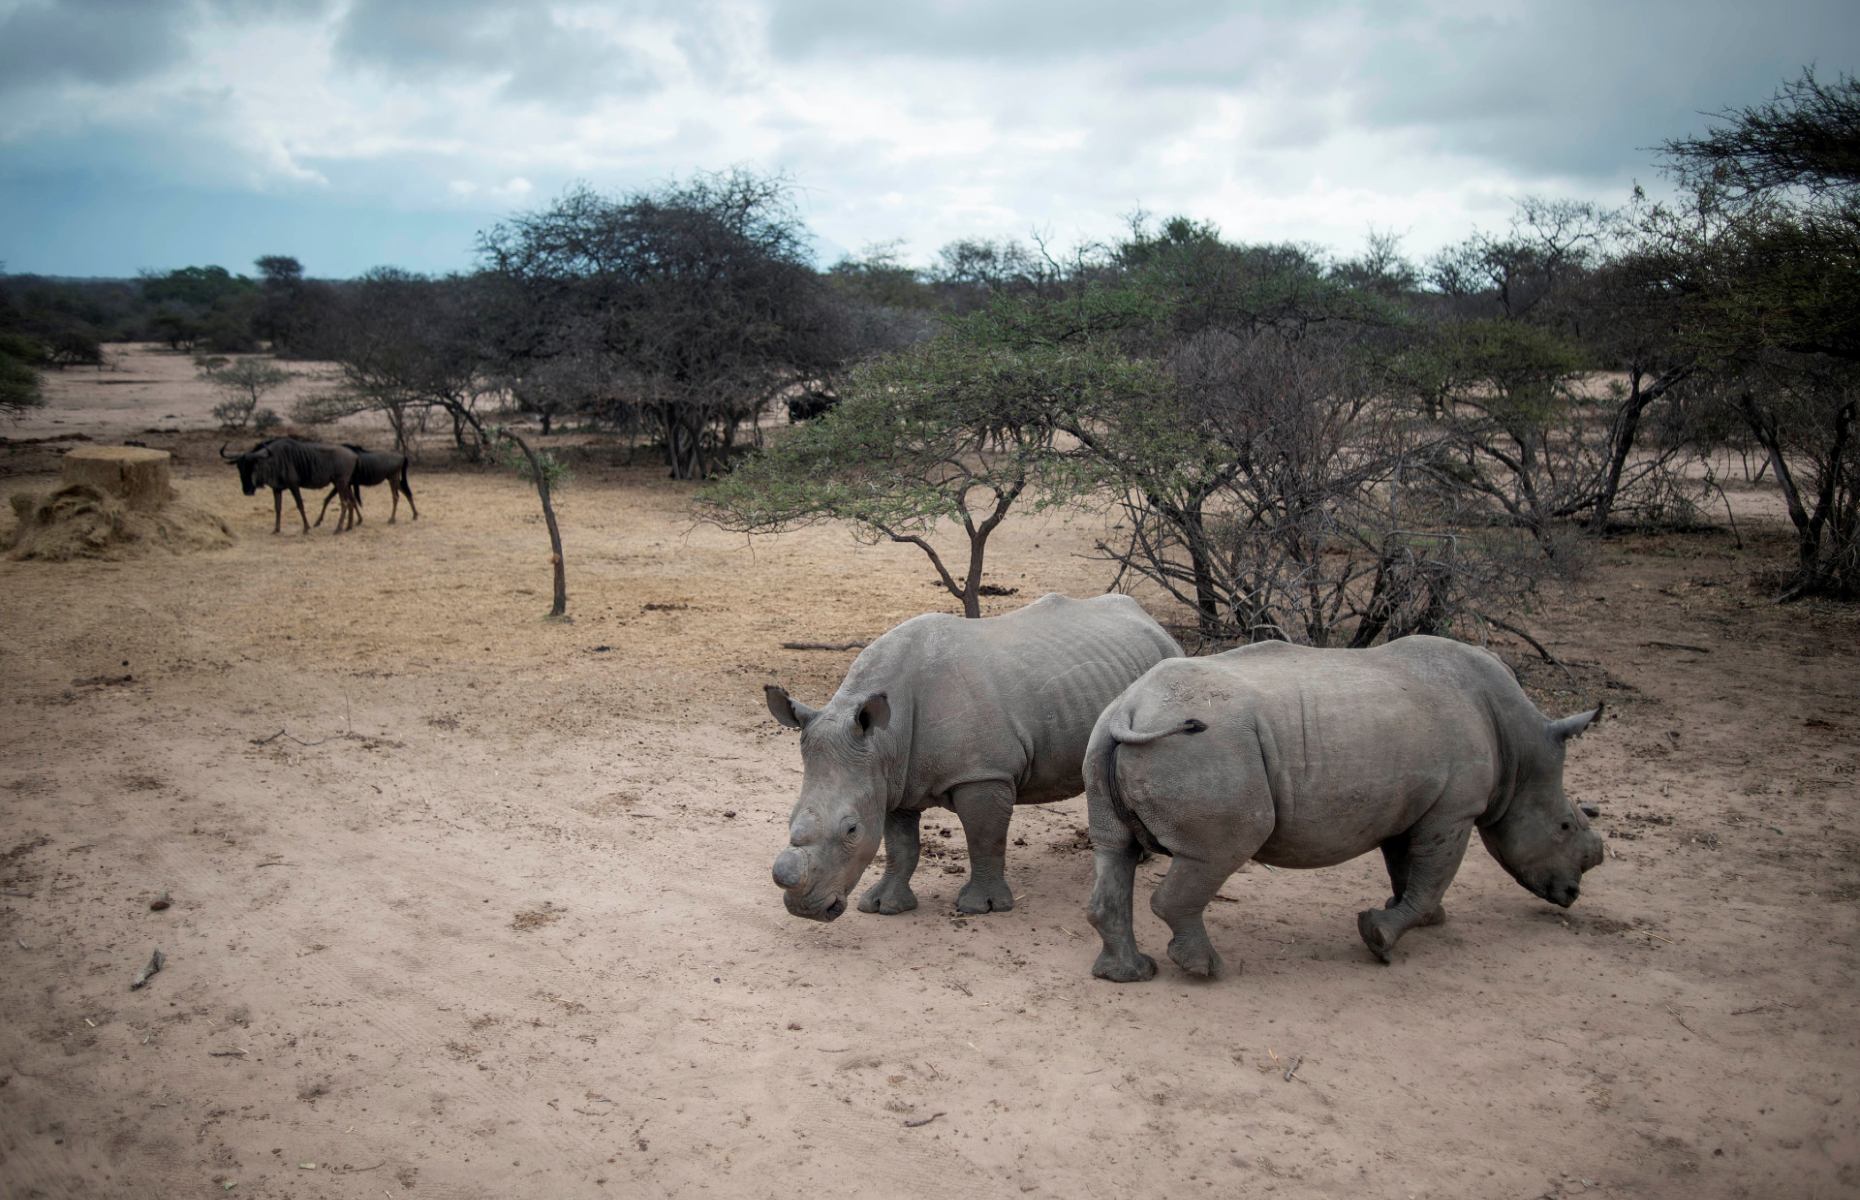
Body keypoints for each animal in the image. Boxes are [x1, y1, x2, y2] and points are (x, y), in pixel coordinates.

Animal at [221, 437, 358, 532]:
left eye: (254, 466)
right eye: (239, 468)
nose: (247, 491)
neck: (274, 459)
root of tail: (353, 455)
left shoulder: (294, 486)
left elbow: (300, 504)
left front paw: (306, 528)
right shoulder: (276, 489)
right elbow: (278, 508)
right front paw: (276, 529)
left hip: (340, 483)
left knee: (345, 503)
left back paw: (338, 529)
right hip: (343, 484)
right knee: (351, 502)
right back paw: (348, 527)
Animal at [766, 587, 1175, 919]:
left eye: (851, 829)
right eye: (789, 818)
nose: (804, 909)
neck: (884, 741)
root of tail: (1151, 619)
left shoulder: (984, 773)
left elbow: (984, 839)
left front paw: (983, 908)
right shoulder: (891, 778)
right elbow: (901, 846)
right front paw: (884, 906)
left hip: (1162, 672)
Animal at [1086, 632, 1607, 974]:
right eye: (1565, 826)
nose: (1571, 894)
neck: (1520, 747)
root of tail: (1132, 709)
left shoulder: (1414, 806)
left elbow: (1409, 871)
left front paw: (1424, 920)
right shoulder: (1455, 809)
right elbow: (1432, 876)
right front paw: (1380, 937)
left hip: (1105, 734)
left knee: (1115, 851)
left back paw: (1129, 974)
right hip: (1208, 751)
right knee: (1218, 852)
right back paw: (1207, 969)